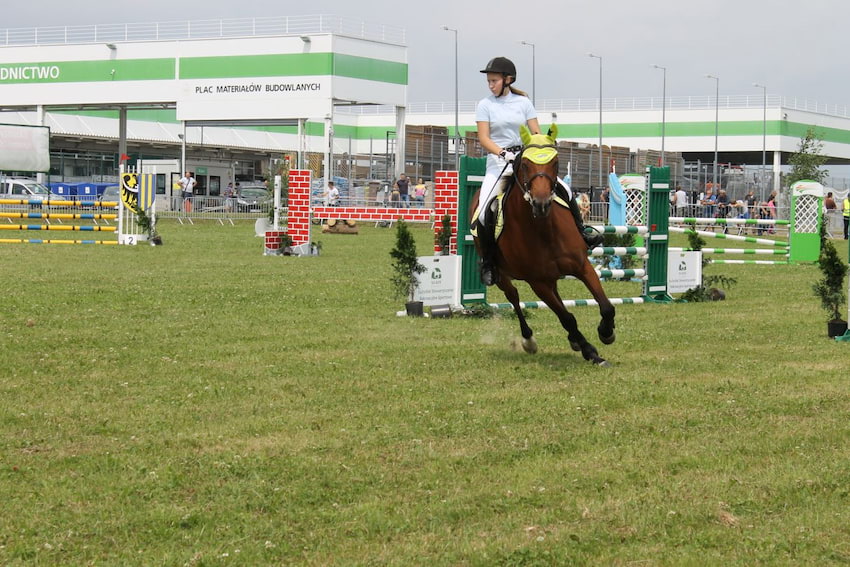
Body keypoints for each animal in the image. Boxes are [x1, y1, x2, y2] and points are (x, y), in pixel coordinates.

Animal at [470, 126, 616, 366]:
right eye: (525, 164)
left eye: (555, 162)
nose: (541, 204)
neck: (545, 230)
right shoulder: (537, 282)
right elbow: (566, 318)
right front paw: (591, 352)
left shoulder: (582, 266)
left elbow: (605, 305)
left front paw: (606, 332)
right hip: (503, 275)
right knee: (514, 297)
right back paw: (529, 340)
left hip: (551, 276)